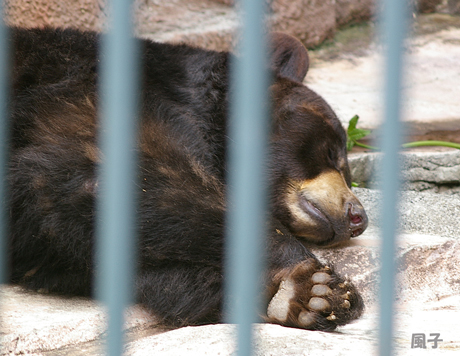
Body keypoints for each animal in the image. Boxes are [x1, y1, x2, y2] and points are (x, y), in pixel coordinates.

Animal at [7, 27, 368, 330]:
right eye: (333, 152)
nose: (358, 217)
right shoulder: (82, 92)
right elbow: (103, 176)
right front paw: (321, 287)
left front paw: (292, 294)